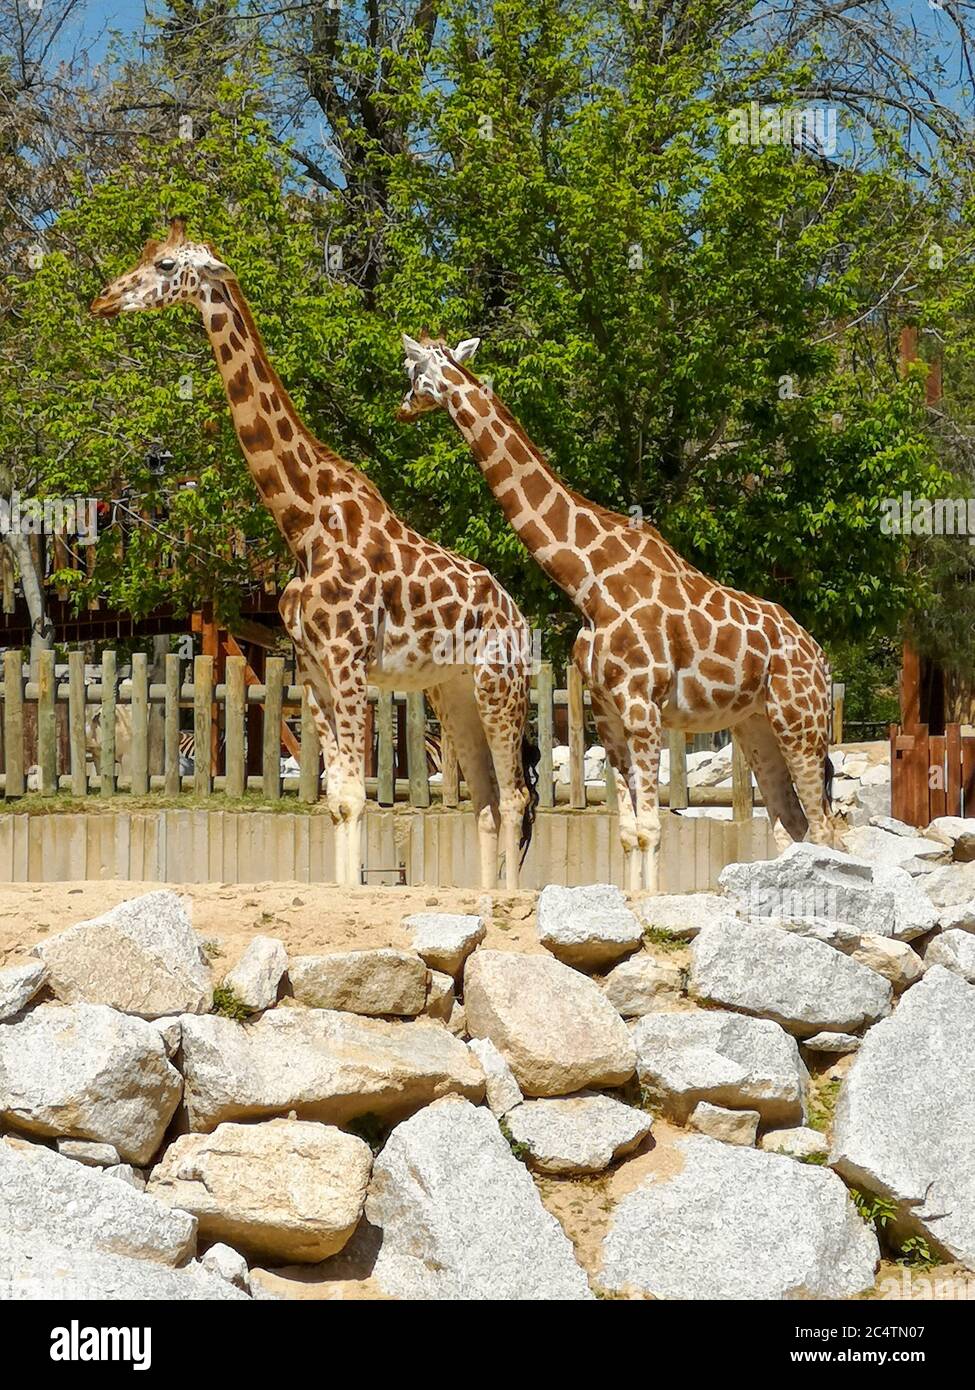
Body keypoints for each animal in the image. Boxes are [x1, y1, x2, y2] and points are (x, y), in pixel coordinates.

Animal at [90, 222, 537, 889]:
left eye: (166, 265)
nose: (104, 299)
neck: (303, 523)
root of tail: (520, 617)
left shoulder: (349, 662)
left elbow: (356, 796)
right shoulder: (314, 667)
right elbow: (338, 797)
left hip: (498, 682)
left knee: (514, 796)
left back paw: (507, 900)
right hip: (451, 689)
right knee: (485, 799)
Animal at [396, 333, 839, 893]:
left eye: (413, 373)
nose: (401, 408)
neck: (588, 584)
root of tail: (820, 658)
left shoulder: (642, 705)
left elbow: (652, 825)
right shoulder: (607, 710)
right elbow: (629, 831)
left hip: (800, 719)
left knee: (823, 826)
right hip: (756, 725)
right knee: (793, 823)